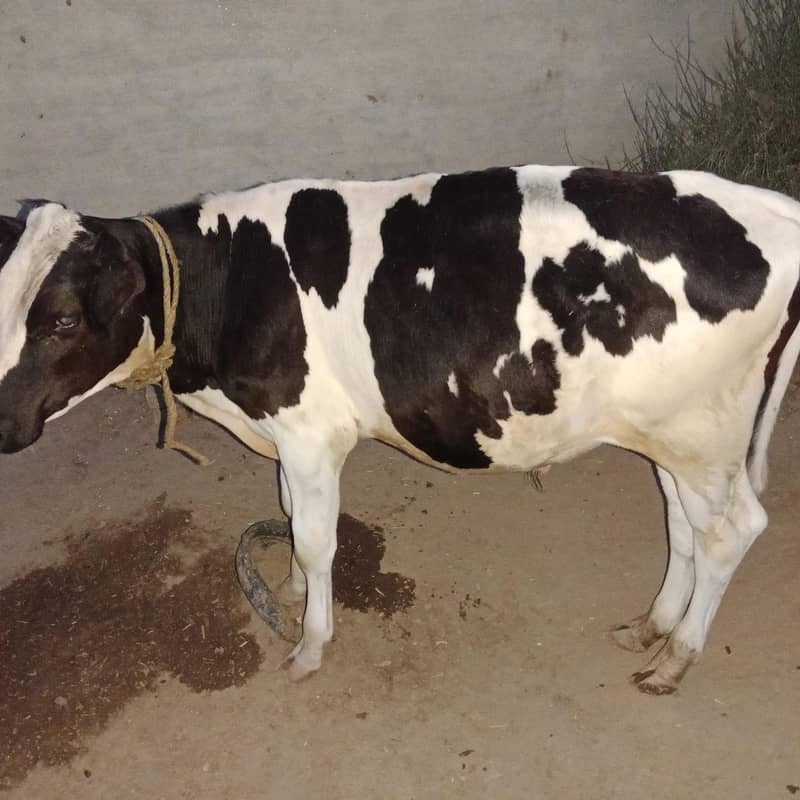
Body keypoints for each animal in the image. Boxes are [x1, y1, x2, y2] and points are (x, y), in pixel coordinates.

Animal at [1, 165, 799, 694]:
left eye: (62, 319)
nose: (2, 422)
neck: (230, 286)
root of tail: (771, 206)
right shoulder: (289, 439)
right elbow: (290, 517)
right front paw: (287, 587)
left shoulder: (311, 434)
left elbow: (317, 539)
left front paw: (310, 644)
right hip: (673, 435)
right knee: (683, 524)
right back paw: (651, 626)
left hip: (701, 433)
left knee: (732, 531)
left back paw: (676, 657)